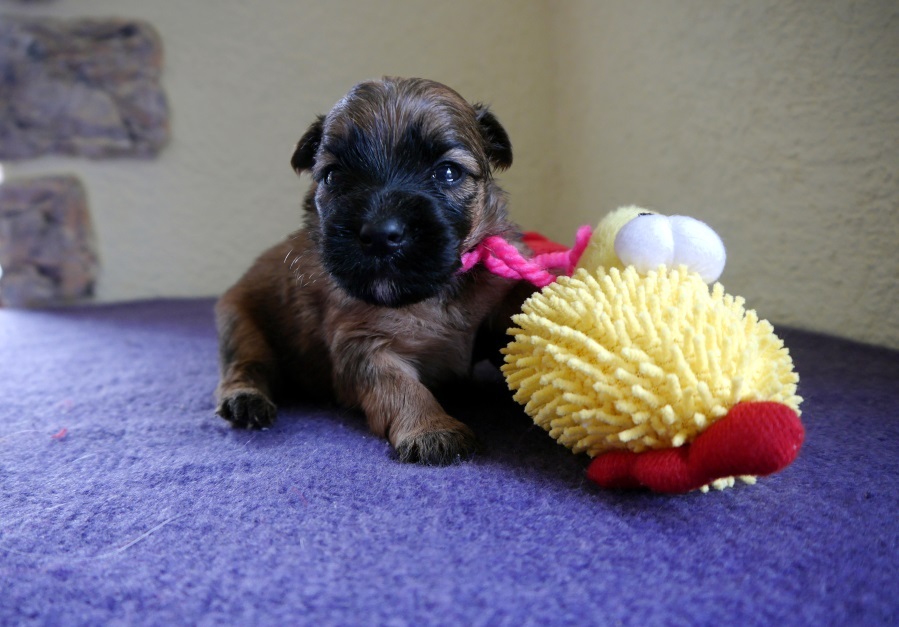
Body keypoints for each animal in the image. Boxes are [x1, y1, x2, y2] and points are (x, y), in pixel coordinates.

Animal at [215, 76, 536, 464]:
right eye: (333, 176)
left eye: (448, 172)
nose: (381, 235)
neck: (432, 296)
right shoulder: (362, 344)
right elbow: (399, 386)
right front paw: (432, 429)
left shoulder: (495, 296)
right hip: (239, 321)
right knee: (247, 363)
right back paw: (245, 399)